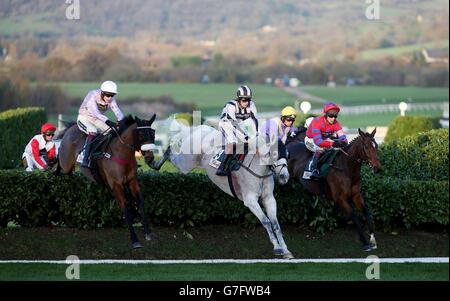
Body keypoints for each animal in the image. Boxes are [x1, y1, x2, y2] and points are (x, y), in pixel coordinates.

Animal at [56, 113, 156, 247]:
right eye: (141, 135)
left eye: (153, 134)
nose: (150, 157)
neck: (121, 153)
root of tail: (70, 128)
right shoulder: (116, 185)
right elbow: (126, 209)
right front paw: (134, 240)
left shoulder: (132, 181)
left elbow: (140, 202)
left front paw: (148, 232)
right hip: (66, 164)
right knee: (60, 164)